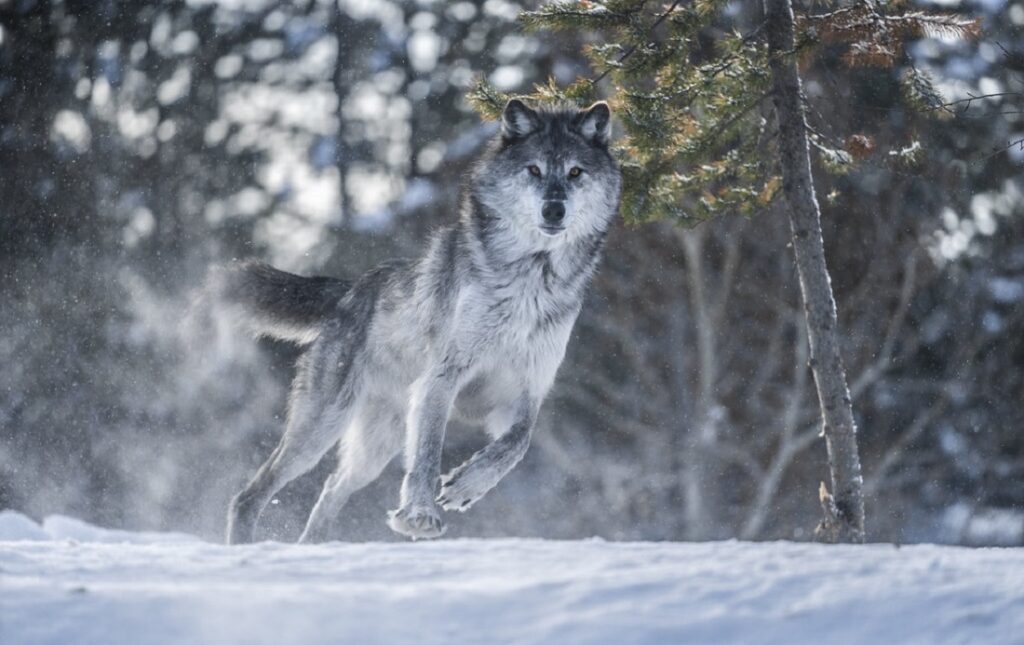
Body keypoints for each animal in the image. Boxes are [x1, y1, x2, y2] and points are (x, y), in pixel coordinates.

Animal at [211, 101, 618, 544]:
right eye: (534, 170)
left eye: (575, 172)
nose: (554, 209)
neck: (532, 280)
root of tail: (350, 291)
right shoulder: (442, 378)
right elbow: (427, 453)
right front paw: (420, 516)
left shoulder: (527, 391)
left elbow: (515, 445)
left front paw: (465, 486)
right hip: (321, 428)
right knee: (249, 495)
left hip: (372, 449)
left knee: (330, 490)